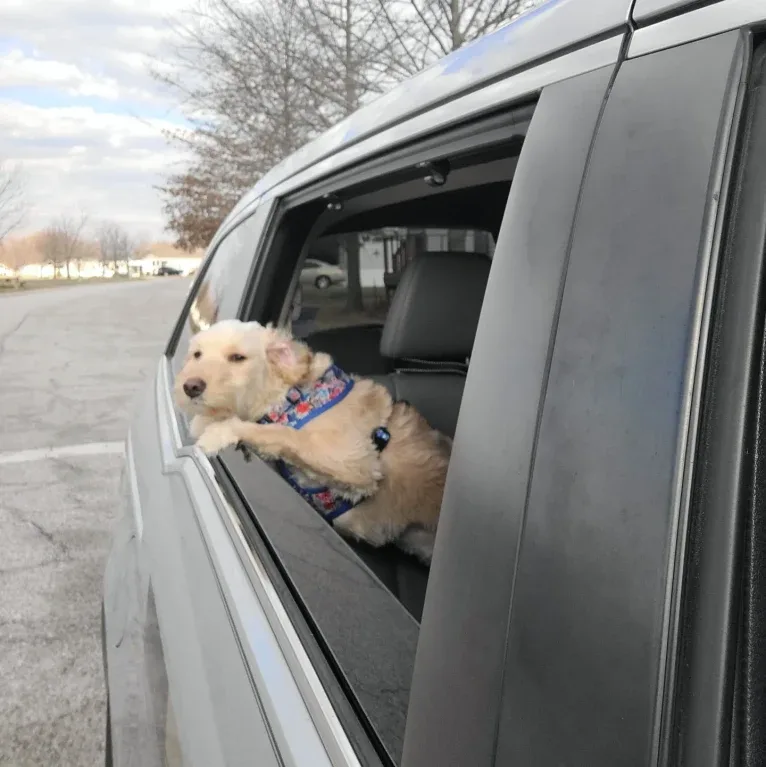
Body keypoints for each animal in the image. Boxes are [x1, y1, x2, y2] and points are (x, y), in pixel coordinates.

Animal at [174, 320, 450, 564]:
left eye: (237, 358)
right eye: (197, 354)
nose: (190, 386)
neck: (293, 400)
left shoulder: (354, 463)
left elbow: (279, 433)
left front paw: (219, 432)